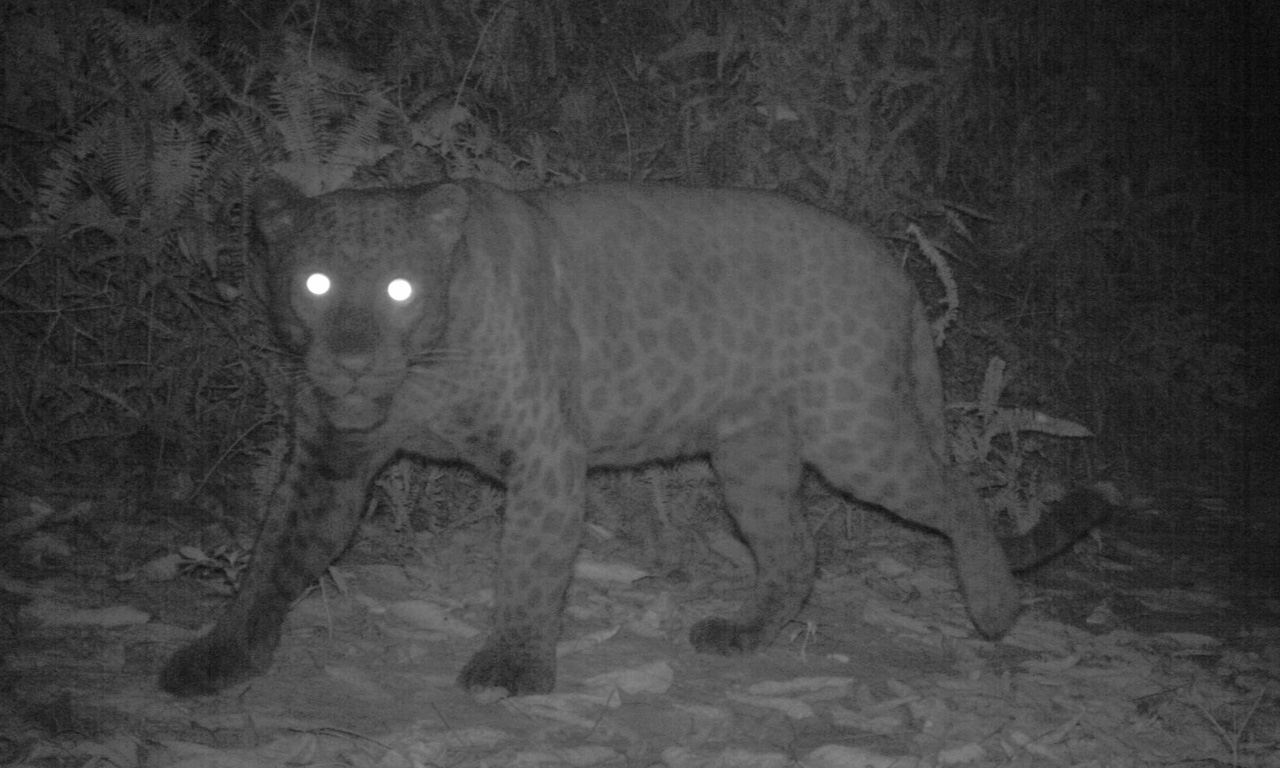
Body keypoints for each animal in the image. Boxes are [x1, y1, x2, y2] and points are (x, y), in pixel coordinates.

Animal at [159, 179, 1109, 698]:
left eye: (399, 288)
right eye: (316, 283)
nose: (353, 363)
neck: (421, 367)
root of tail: (891, 265)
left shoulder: (545, 452)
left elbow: (530, 564)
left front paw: (512, 667)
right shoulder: (329, 458)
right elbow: (272, 559)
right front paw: (220, 656)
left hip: (855, 431)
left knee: (955, 494)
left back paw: (994, 607)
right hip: (751, 455)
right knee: (796, 550)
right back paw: (742, 634)